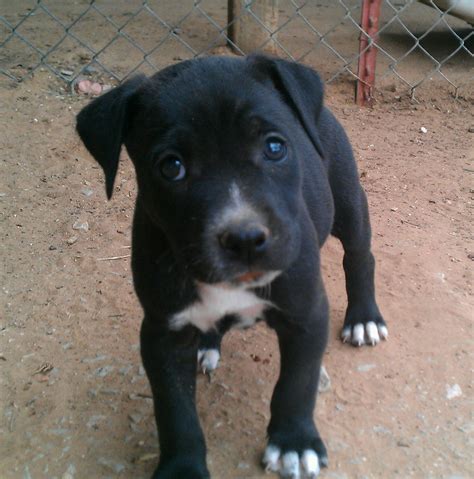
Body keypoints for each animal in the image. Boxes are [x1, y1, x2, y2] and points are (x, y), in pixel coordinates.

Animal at [77, 54, 386, 478]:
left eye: (274, 147)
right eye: (171, 166)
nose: (244, 238)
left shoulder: (306, 310)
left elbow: (296, 382)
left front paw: (294, 443)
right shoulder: (162, 331)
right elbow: (174, 410)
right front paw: (183, 468)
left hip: (348, 200)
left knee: (359, 257)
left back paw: (363, 319)